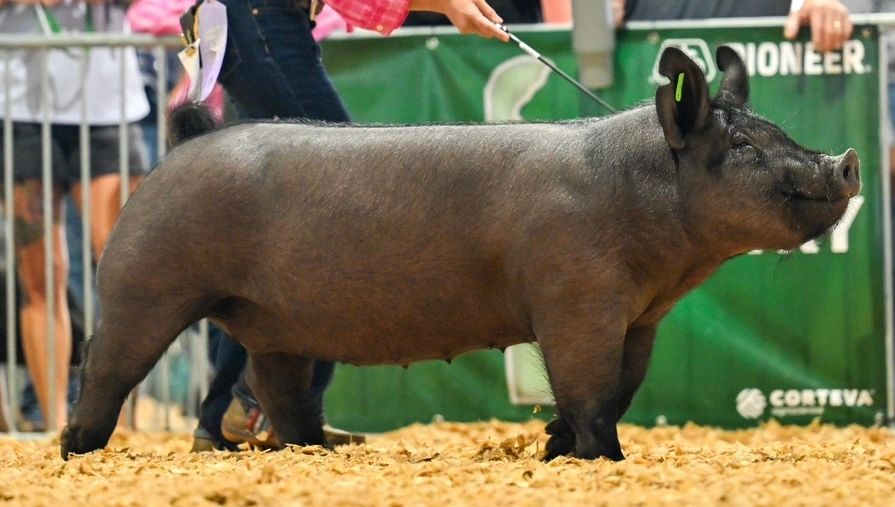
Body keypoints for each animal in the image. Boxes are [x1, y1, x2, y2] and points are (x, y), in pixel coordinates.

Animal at [60, 46, 860, 461]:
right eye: (743, 145)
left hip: (271, 324)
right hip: (142, 282)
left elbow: (620, 389)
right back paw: (78, 451)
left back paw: (324, 451)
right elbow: (590, 391)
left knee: (278, 388)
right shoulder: (576, 299)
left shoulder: (640, 321)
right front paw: (602, 459)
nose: (846, 159)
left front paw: (554, 449)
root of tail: (182, 145)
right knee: (104, 366)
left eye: (775, 129)